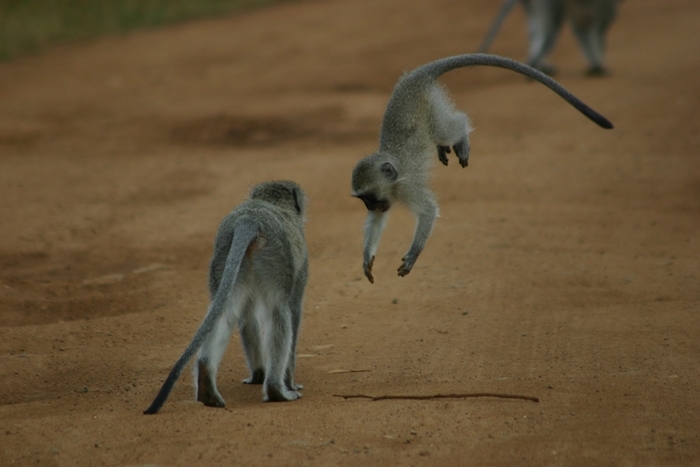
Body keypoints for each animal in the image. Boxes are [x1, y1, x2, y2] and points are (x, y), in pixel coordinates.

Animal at [144, 181, 308, 414]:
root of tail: (249, 220)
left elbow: (246, 317)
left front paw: (257, 375)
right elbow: (293, 312)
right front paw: (290, 383)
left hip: (223, 253)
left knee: (226, 311)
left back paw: (207, 382)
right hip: (274, 256)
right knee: (279, 311)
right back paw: (277, 390)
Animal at [350, 53, 612, 284]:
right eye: (364, 200)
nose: (370, 206)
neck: (394, 175)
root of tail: (415, 76)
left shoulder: (408, 187)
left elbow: (428, 211)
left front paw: (413, 253)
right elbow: (378, 220)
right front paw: (367, 256)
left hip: (431, 106)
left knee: (450, 126)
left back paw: (461, 135)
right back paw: (443, 148)